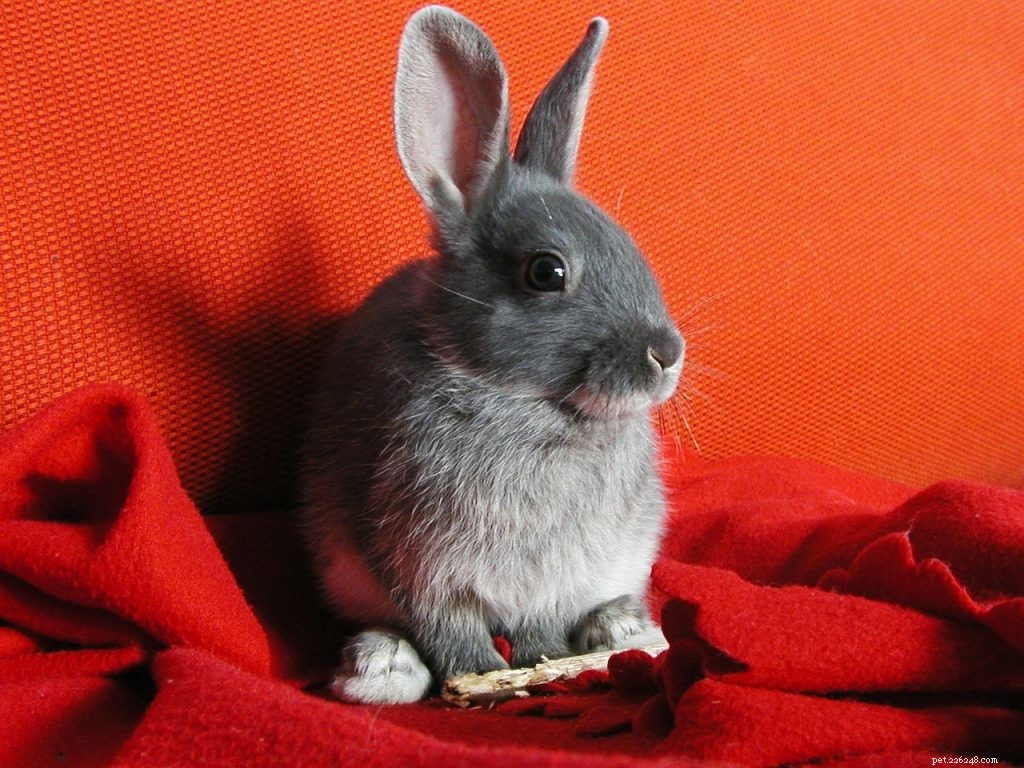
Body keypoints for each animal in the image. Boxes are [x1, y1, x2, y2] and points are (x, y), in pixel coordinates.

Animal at [300, 5, 685, 705]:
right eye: (547, 272)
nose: (667, 353)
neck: (526, 404)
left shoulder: (551, 580)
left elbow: (538, 627)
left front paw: (541, 661)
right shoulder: (419, 565)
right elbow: (449, 630)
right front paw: (478, 677)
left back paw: (621, 629)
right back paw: (383, 666)